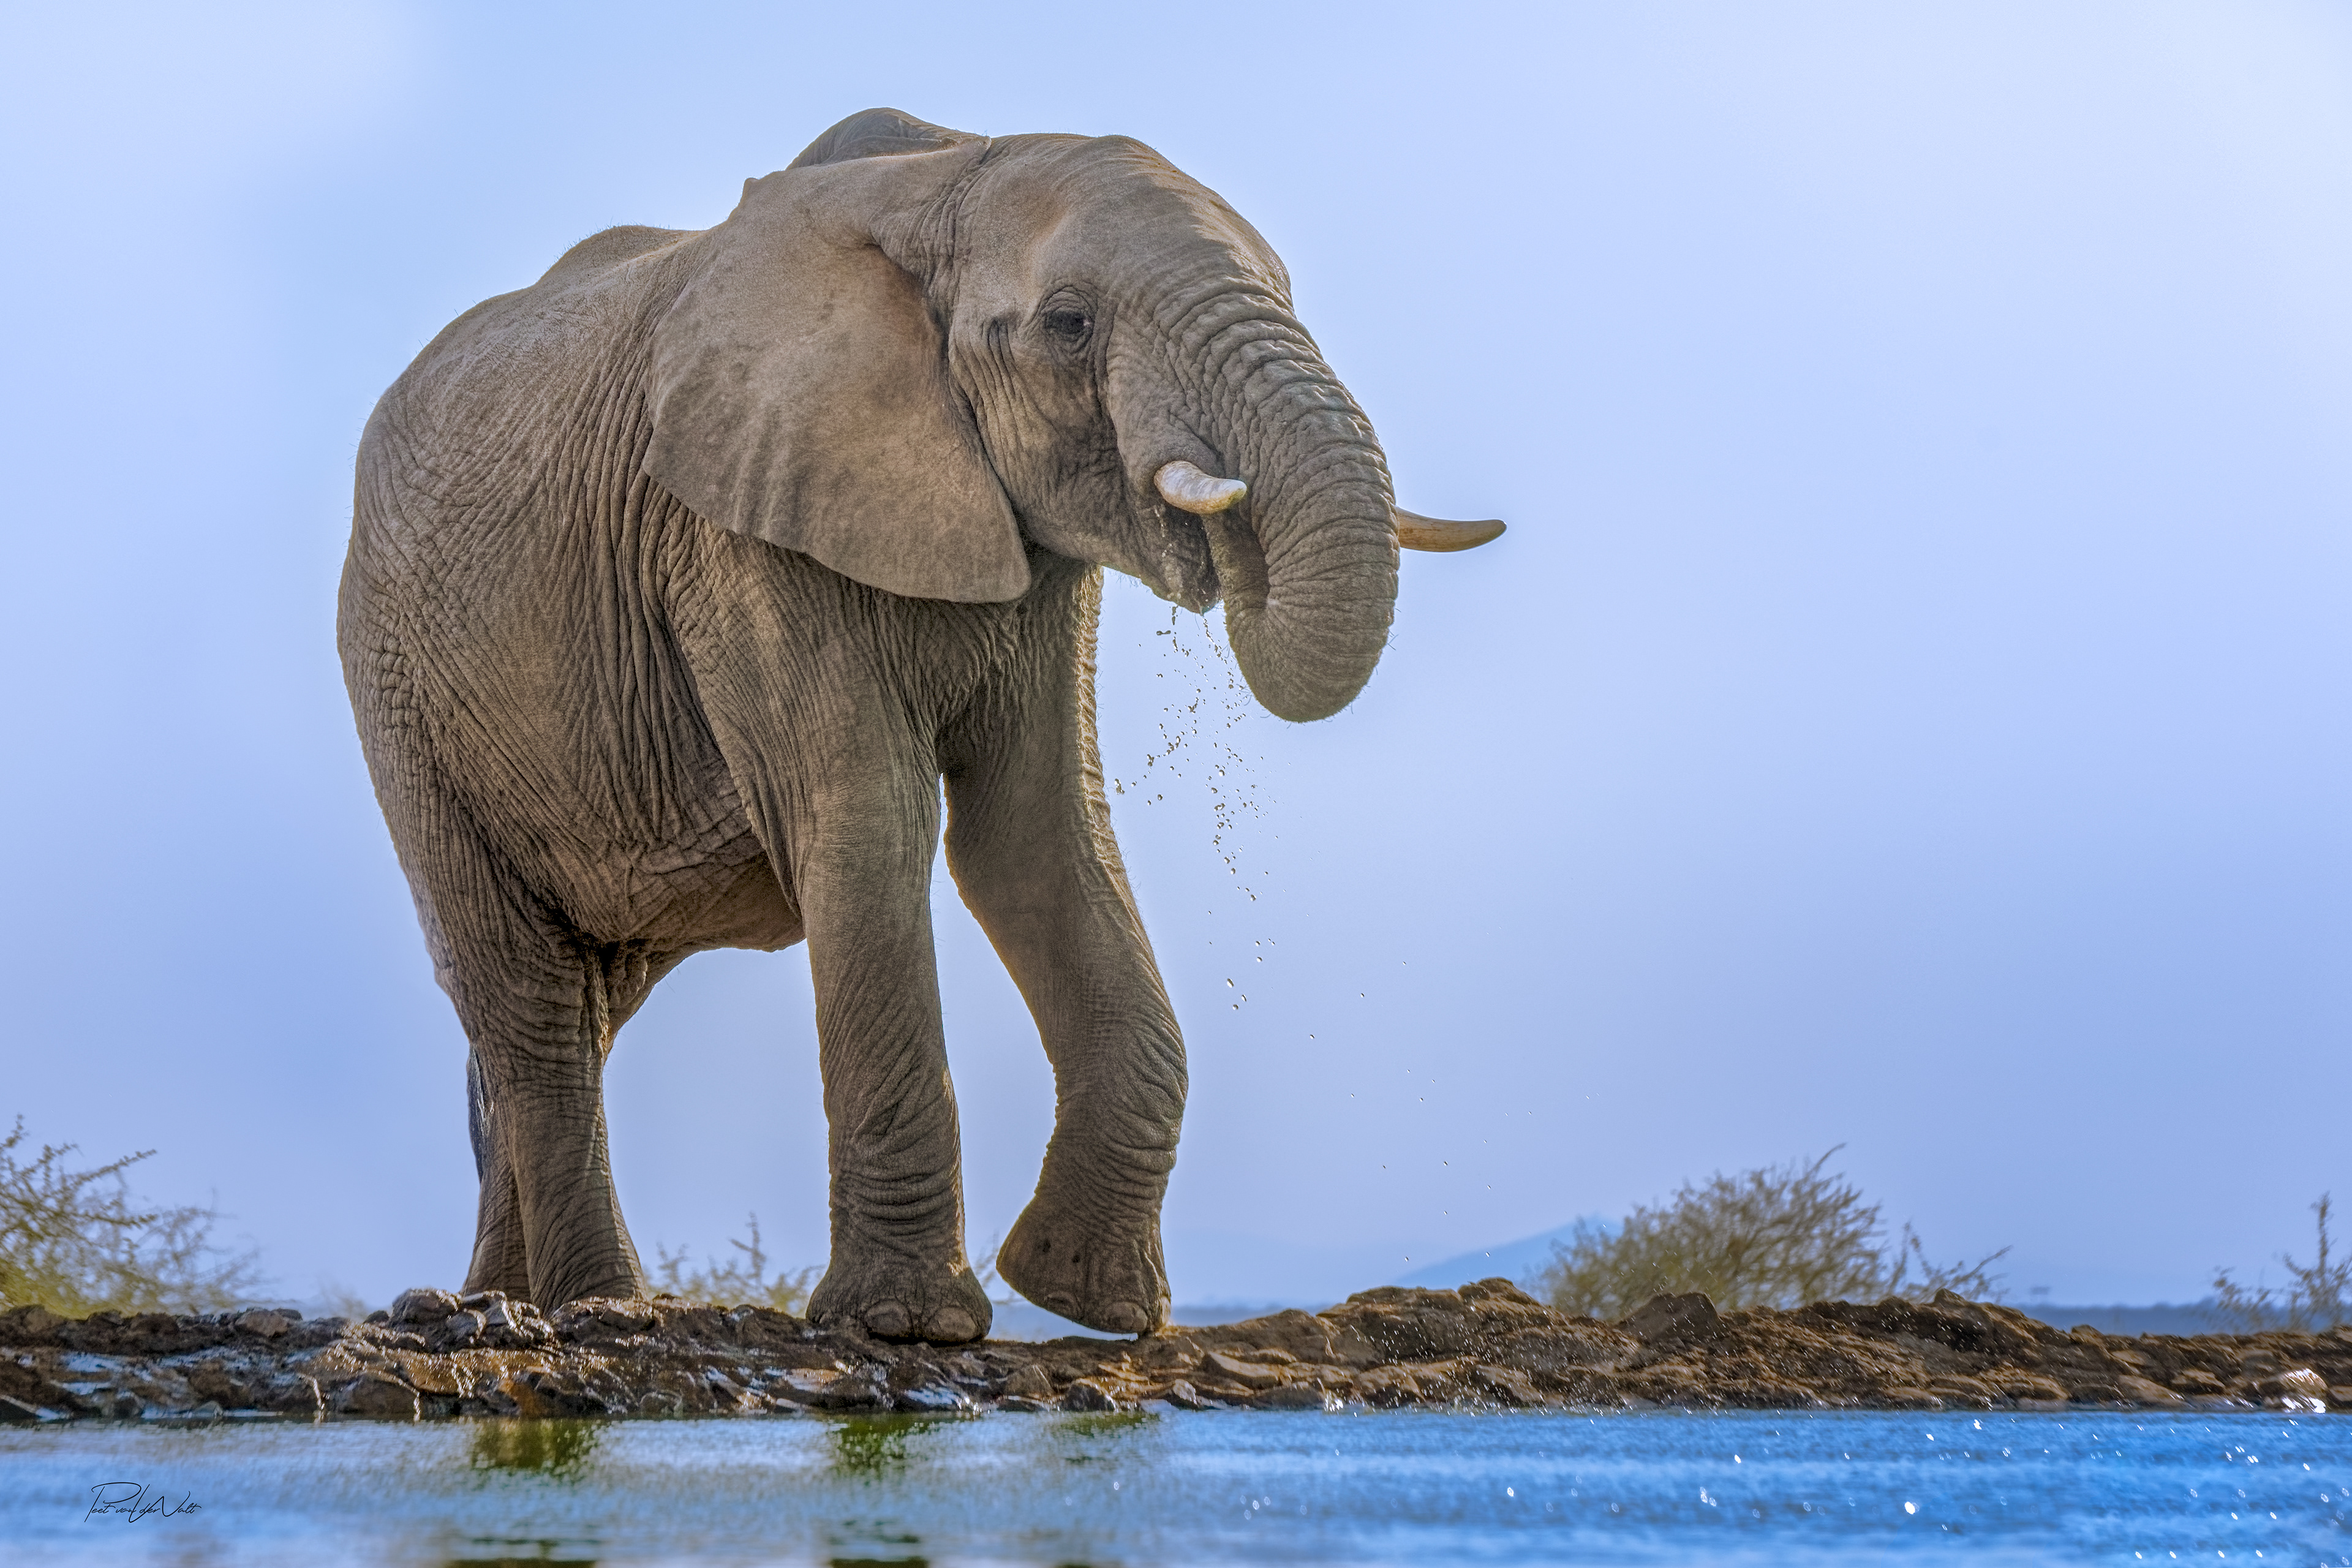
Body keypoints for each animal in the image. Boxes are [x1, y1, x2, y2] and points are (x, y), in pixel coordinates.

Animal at [338, 107, 1503, 1343]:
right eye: (1070, 325)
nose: (1227, 525)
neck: (939, 181)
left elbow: (1040, 840)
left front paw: (1092, 1305)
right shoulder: (743, 529)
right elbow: (870, 824)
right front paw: (907, 1325)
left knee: (572, 1005)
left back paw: (490, 1303)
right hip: (400, 692)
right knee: (531, 994)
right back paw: (599, 1309)